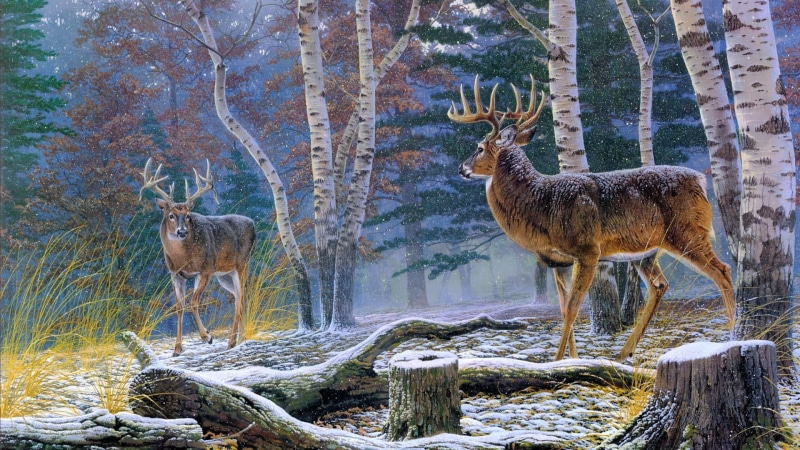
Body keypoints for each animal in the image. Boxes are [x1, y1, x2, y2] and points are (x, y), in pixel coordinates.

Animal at [139, 158, 256, 356]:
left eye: (187, 216)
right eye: (171, 215)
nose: (182, 232)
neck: (184, 258)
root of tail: (252, 223)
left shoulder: (205, 270)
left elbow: (194, 301)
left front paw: (207, 336)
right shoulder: (175, 274)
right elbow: (179, 307)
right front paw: (177, 349)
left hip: (242, 264)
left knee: (239, 299)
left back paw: (231, 342)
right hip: (225, 275)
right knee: (239, 297)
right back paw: (240, 339)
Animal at [448, 76, 735, 362]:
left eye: (479, 148)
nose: (461, 168)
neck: (541, 203)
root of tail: (700, 181)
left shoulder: (587, 250)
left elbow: (574, 306)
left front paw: (558, 360)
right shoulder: (558, 260)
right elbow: (564, 308)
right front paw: (571, 359)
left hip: (688, 232)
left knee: (722, 271)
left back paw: (733, 333)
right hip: (647, 252)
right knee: (660, 285)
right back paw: (623, 354)